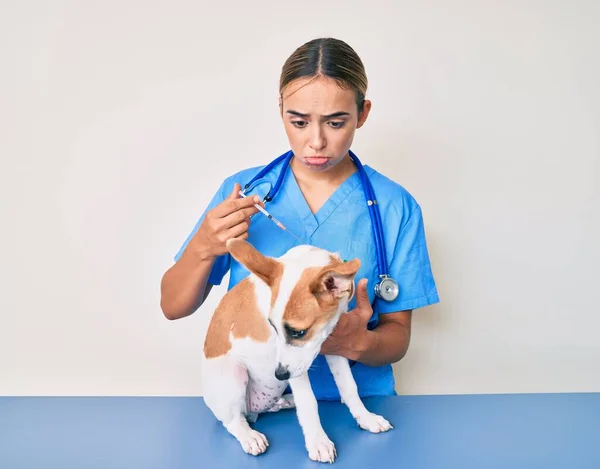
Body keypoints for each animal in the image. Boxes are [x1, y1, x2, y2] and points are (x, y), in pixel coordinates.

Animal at [202, 239, 394, 462]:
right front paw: (318, 441)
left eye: (298, 332)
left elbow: (349, 386)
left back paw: (286, 402)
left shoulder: (337, 343)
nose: (279, 375)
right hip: (234, 374)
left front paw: (366, 418)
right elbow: (308, 401)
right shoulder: (296, 369)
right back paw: (249, 436)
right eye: (273, 327)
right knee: (233, 421)